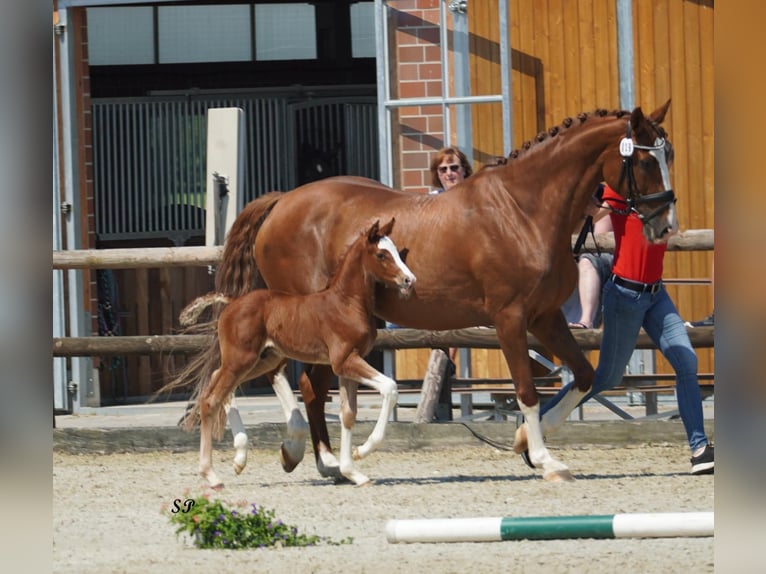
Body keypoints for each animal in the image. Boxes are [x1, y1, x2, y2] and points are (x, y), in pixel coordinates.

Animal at [182, 218, 414, 488]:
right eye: (381, 254)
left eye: (397, 252)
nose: (409, 280)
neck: (346, 303)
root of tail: (231, 302)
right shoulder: (344, 360)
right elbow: (390, 387)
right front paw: (363, 450)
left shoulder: (348, 364)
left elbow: (348, 414)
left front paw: (353, 472)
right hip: (242, 359)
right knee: (211, 399)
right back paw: (211, 474)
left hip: (260, 359)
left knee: (217, 383)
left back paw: (239, 458)